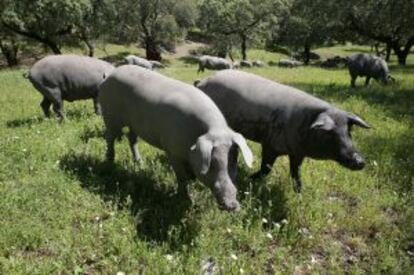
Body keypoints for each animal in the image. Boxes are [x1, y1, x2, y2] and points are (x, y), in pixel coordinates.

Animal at [98, 66, 252, 212]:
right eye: (212, 164)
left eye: (233, 162)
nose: (233, 206)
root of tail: (109, 75)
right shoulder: (172, 151)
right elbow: (181, 178)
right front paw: (185, 200)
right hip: (110, 115)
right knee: (110, 137)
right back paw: (109, 162)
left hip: (134, 124)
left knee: (132, 139)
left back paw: (139, 164)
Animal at [196, 70, 370, 193]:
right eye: (330, 134)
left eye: (348, 132)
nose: (360, 161)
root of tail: (202, 81)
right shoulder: (270, 145)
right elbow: (266, 169)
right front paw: (250, 178)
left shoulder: (297, 153)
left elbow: (295, 173)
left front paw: (299, 193)